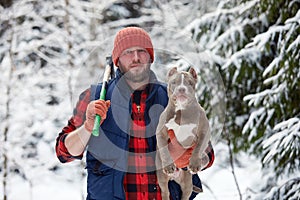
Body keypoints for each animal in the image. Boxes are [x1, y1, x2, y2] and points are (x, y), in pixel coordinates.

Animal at [156, 66, 210, 199]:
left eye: (190, 83)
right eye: (174, 82)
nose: (181, 89)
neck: (181, 110)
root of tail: (174, 177)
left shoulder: (204, 130)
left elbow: (198, 147)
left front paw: (194, 164)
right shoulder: (161, 132)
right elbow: (164, 150)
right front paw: (168, 165)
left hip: (187, 183)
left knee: (185, 194)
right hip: (161, 178)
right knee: (165, 192)